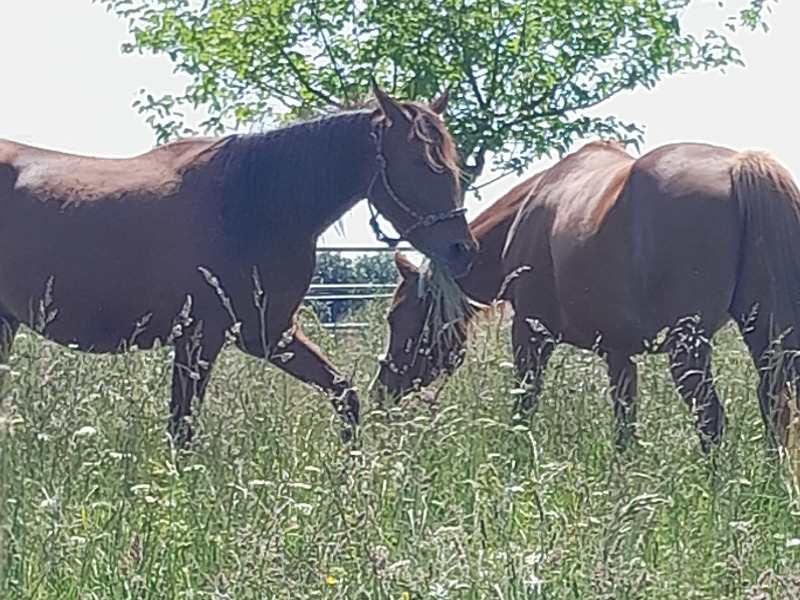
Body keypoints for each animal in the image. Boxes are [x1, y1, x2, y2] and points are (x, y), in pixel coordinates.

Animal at [0, 82, 478, 443]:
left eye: (452, 161)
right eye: (420, 162)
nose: (463, 250)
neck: (251, 203)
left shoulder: (270, 335)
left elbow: (345, 395)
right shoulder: (201, 338)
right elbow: (181, 430)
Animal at [371, 140, 800, 454]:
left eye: (397, 316)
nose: (380, 390)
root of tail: (738, 166)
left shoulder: (529, 334)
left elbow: (524, 406)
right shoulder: (619, 352)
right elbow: (624, 428)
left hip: (689, 346)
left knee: (712, 418)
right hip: (765, 335)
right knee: (775, 404)